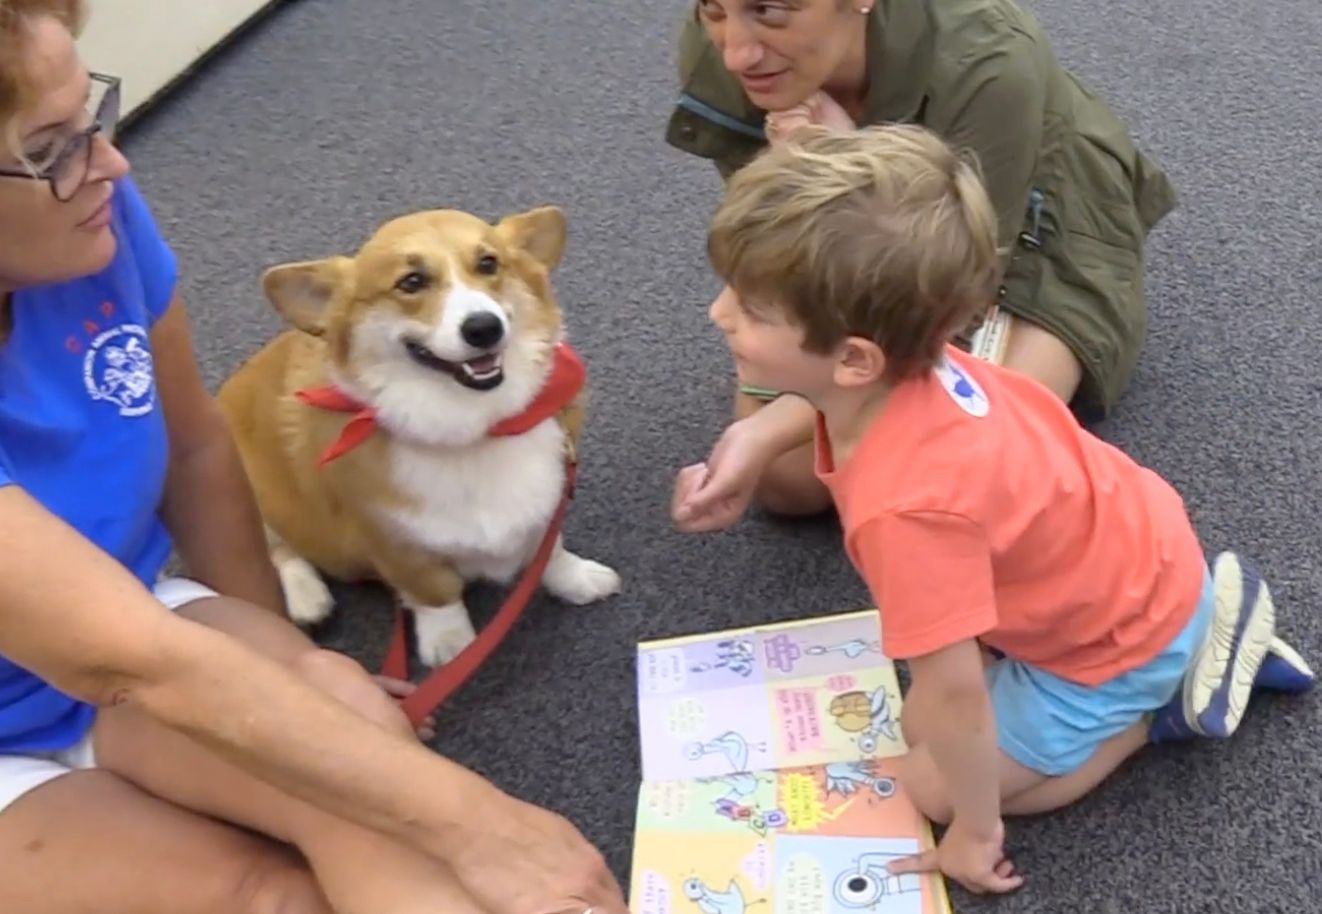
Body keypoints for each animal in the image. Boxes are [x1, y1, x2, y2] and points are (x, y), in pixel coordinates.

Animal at [218, 205, 623, 664]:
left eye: (489, 263)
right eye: (411, 282)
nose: (484, 327)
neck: (472, 429)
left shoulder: (548, 503)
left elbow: (549, 551)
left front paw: (577, 579)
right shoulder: (396, 546)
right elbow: (436, 592)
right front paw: (451, 645)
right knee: (278, 548)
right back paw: (308, 598)